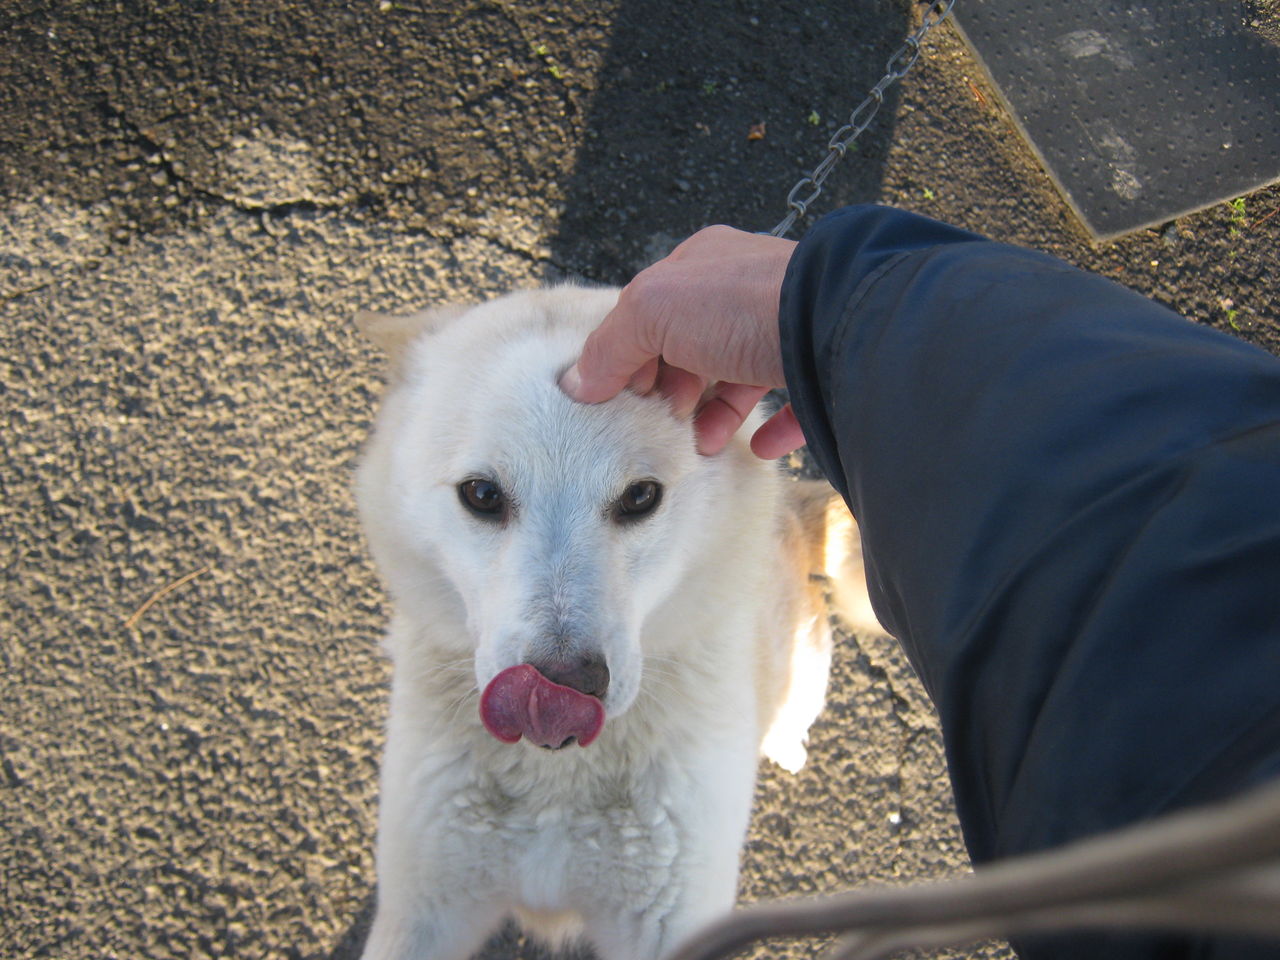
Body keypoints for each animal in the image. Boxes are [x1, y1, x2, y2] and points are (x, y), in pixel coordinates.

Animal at [355, 289, 875, 960]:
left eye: (639, 497)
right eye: (481, 494)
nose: (560, 691)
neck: (556, 781)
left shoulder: (671, 923)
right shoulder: (424, 903)